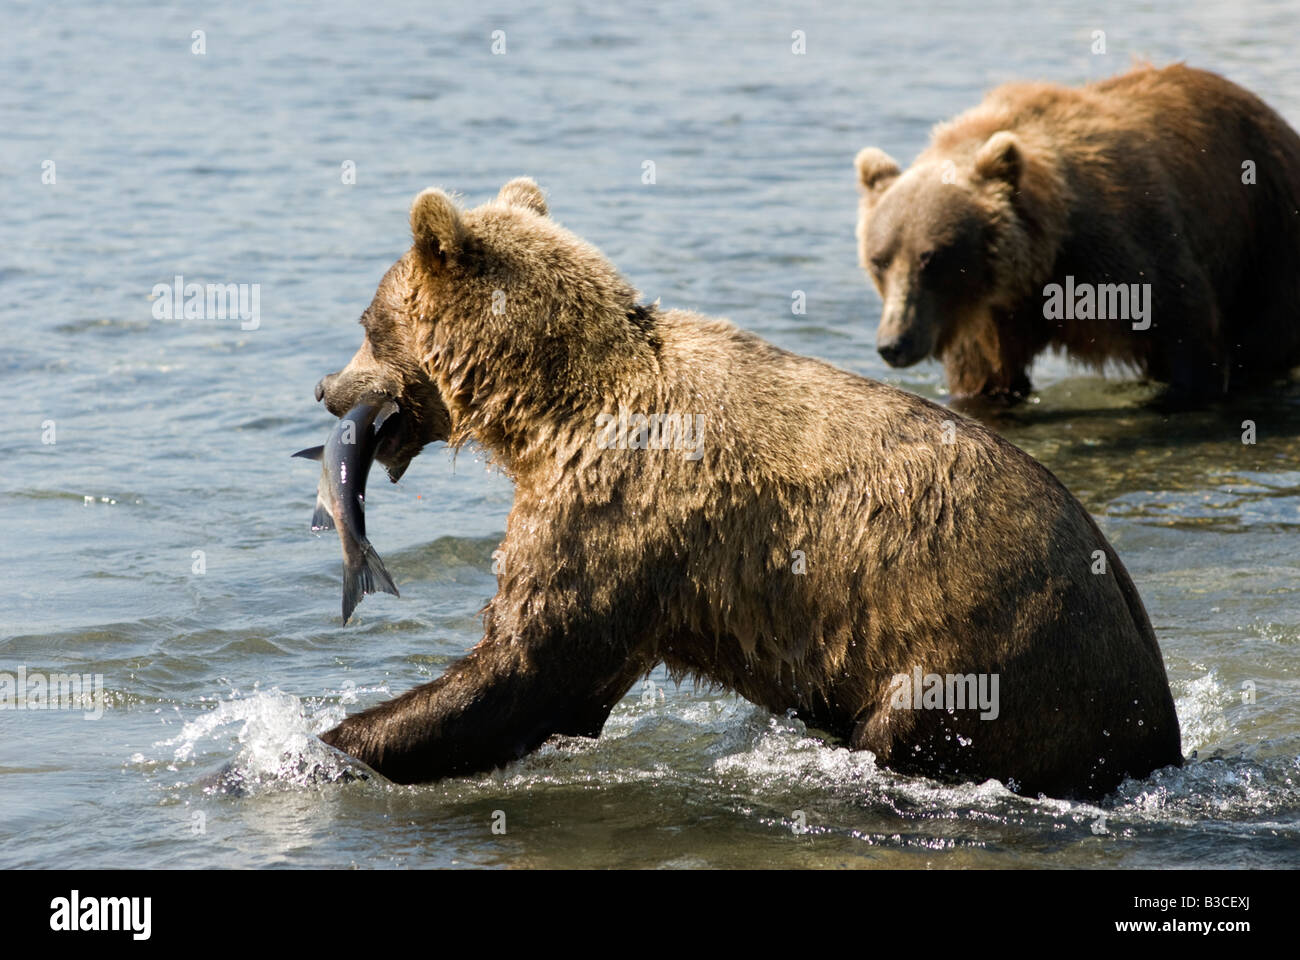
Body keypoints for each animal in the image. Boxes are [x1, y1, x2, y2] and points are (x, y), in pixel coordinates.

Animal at [312, 175, 1180, 796]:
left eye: (366, 321)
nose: (325, 386)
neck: (552, 408)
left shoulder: (612, 511)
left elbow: (529, 666)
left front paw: (328, 743)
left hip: (990, 647)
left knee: (913, 725)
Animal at [852, 62, 1300, 400]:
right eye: (879, 260)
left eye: (931, 258)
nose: (893, 343)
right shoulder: (988, 316)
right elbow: (987, 378)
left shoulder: (1127, 254)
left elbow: (1187, 332)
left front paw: (1182, 395)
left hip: (1267, 228)